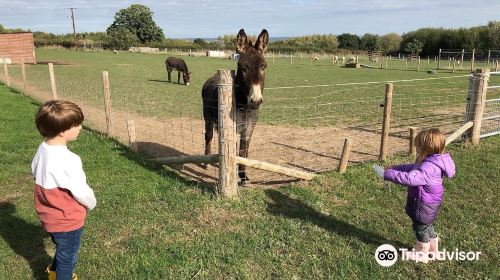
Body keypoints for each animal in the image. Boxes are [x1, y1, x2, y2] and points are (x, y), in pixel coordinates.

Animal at [201, 29, 270, 186]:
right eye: (243, 68)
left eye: (263, 67)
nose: (255, 101)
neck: (244, 106)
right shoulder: (231, 126)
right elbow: (232, 149)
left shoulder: (249, 127)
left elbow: (243, 151)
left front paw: (243, 177)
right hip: (208, 117)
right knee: (208, 136)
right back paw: (206, 161)